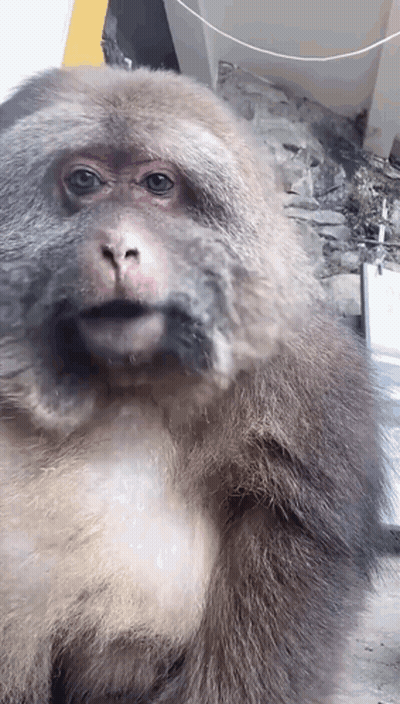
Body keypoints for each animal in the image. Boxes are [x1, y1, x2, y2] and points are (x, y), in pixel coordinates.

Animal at [0, 65, 384, 704]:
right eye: (84, 180)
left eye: (158, 184)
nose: (119, 247)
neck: (130, 378)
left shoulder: (303, 369)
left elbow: (292, 538)